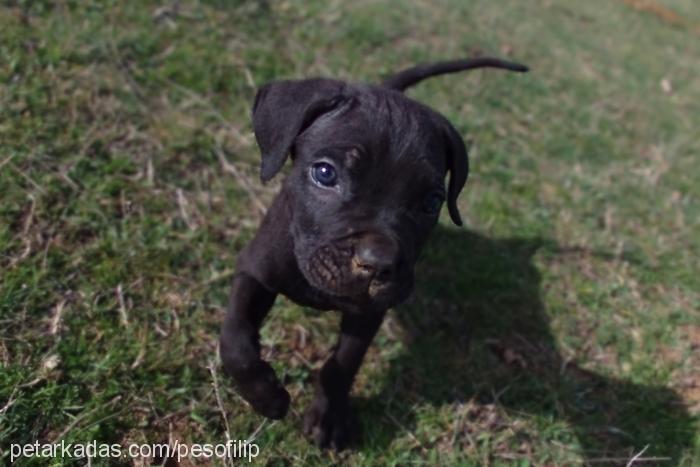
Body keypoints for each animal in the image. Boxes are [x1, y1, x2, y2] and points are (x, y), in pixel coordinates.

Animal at [219, 57, 524, 450]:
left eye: (431, 202)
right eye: (324, 173)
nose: (377, 264)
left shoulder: (368, 313)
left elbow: (341, 365)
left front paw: (328, 418)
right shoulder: (254, 271)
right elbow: (235, 339)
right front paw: (266, 396)